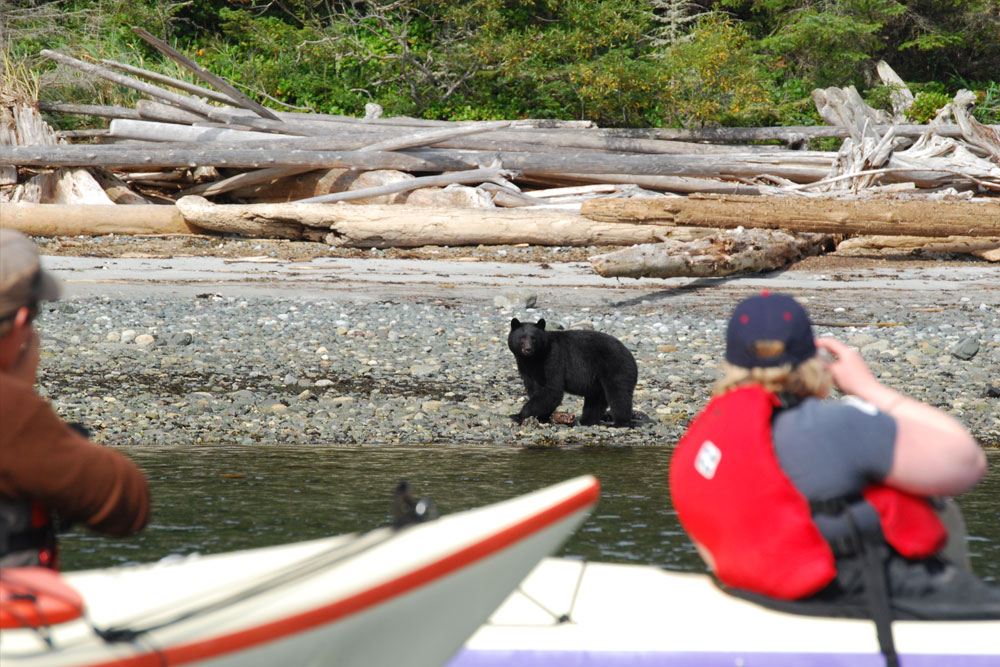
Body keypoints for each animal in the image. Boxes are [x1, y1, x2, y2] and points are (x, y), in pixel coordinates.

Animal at [508, 318, 640, 428]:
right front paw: (542, 417)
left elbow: (552, 391)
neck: (535, 358)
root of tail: (630, 355)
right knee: (596, 399)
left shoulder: (553, 360)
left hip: (616, 368)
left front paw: (518, 415)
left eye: (533, 338)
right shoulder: (527, 368)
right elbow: (535, 389)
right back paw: (587, 421)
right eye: (522, 337)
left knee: (619, 395)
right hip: (599, 379)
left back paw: (620, 423)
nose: (528, 349)